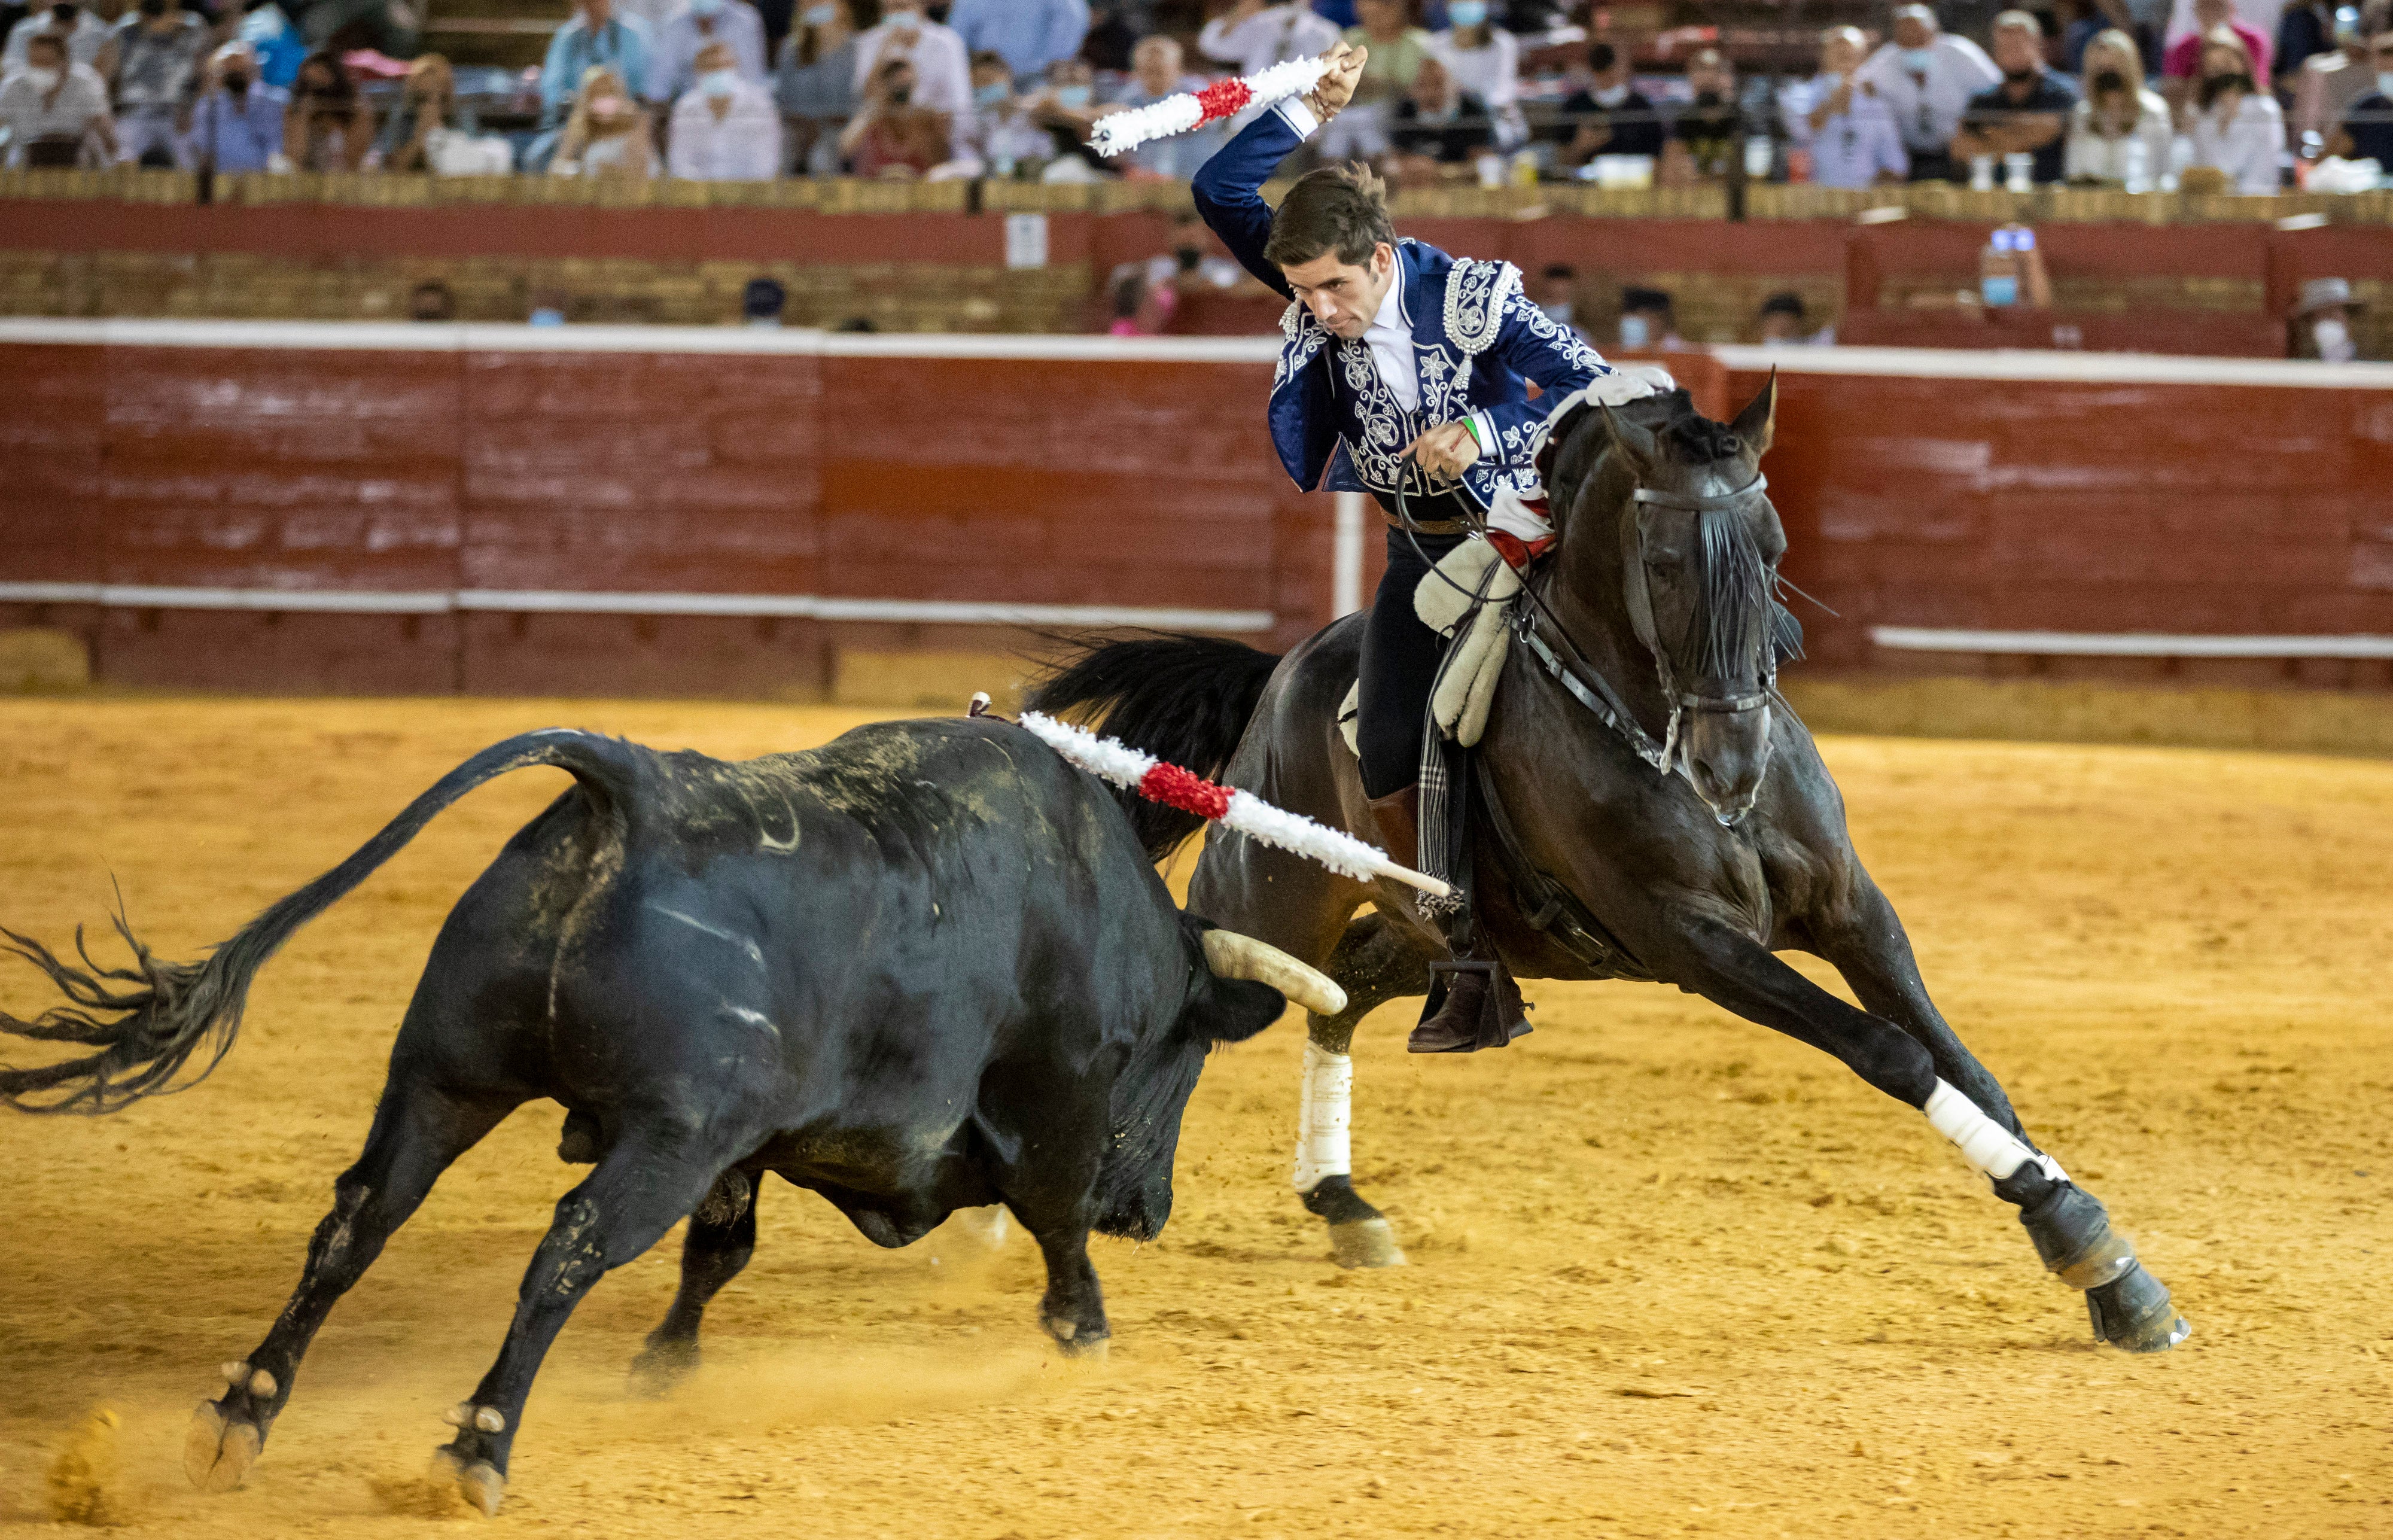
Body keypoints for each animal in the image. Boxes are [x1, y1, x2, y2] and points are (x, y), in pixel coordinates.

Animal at [0, 722, 1331, 1511]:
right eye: (1187, 1061)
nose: (1149, 1210)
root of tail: (631, 783)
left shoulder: (741, 1139)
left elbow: (719, 1249)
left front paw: (666, 1363)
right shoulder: (1048, 1103)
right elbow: (1051, 1221)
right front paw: (1081, 1332)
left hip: (443, 1079)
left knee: (357, 1221)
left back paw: (240, 1415)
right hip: (657, 1137)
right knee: (569, 1243)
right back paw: (477, 1444)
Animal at [1029, 378, 2192, 1358]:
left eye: (1775, 547)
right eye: (1666, 564)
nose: (1732, 764)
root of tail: (1284, 675)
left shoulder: (1852, 908)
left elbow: (1967, 1064)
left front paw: (2107, 1265)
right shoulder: (1692, 939)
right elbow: (1892, 1052)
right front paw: (2081, 1238)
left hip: (1440, 937)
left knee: (1337, 996)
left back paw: (1342, 1202)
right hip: (1274, 888)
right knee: (1204, 988)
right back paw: (1124, 1189)